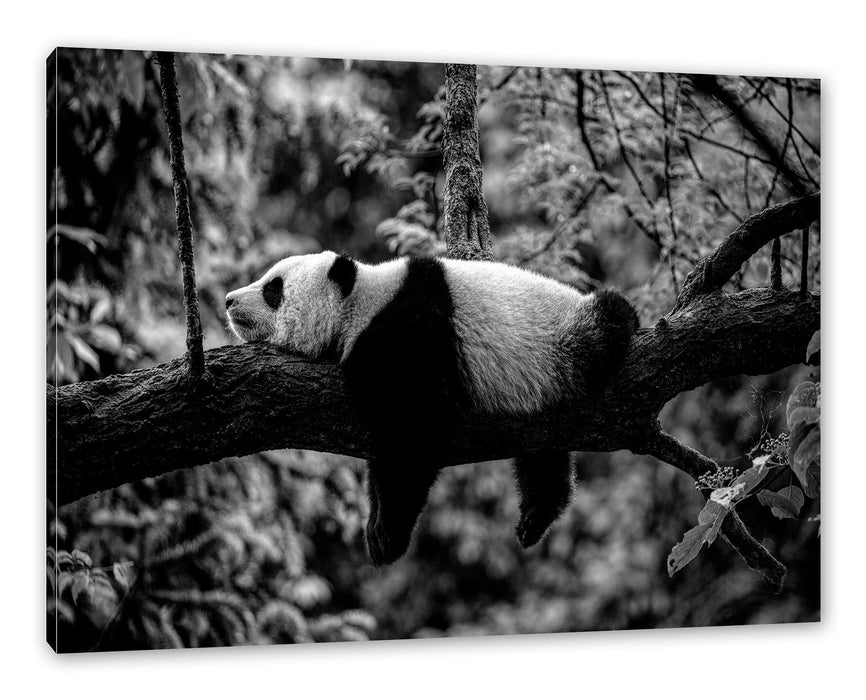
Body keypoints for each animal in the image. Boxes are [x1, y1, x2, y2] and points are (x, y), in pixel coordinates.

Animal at [226, 251, 638, 566]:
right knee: (542, 456)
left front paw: (387, 535)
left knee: (608, 321)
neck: (360, 302)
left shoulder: (411, 333)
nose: (229, 300)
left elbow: (417, 432)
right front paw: (376, 528)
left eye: (273, 289)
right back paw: (536, 515)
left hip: (562, 340)